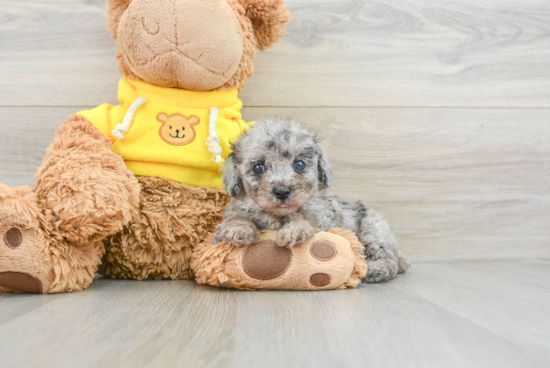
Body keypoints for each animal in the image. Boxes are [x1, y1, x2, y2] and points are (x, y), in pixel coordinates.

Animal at [213, 118, 412, 282]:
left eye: (299, 164)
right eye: (258, 167)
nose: (282, 191)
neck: (279, 216)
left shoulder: (322, 217)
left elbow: (308, 220)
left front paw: (294, 231)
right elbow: (236, 218)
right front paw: (238, 229)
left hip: (373, 229)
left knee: (388, 260)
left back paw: (372, 270)